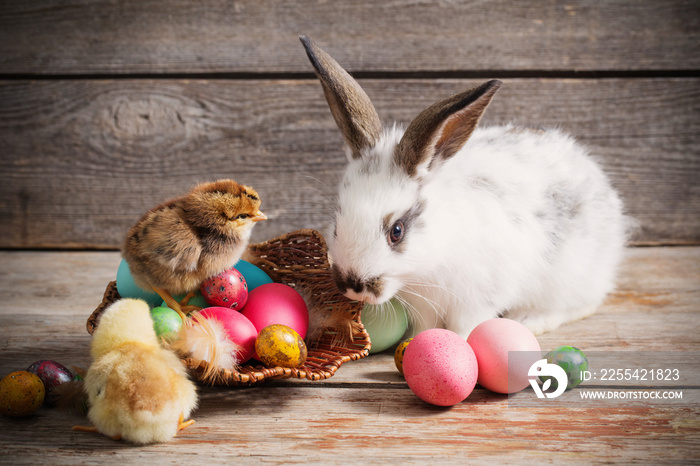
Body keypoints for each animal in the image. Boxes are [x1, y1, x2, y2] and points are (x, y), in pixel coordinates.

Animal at [300, 35, 628, 334]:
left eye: (397, 232)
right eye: (336, 223)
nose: (352, 285)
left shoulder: (477, 299)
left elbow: (464, 329)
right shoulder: (423, 308)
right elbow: (426, 328)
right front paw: (417, 343)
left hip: (571, 280)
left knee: (581, 304)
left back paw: (529, 321)